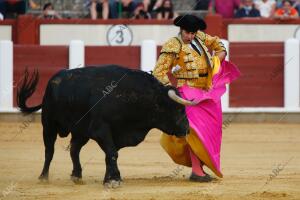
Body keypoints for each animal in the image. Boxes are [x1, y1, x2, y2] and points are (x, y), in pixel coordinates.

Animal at [16, 65, 191, 187]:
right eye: (179, 109)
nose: (187, 129)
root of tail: (53, 80)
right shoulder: (101, 131)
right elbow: (112, 153)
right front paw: (114, 180)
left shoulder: (113, 134)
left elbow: (109, 155)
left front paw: (109, 179)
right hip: (49, 125)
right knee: (49, 151)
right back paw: (43, 177)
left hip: (80, 132)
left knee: (74, 150)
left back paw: (77, 176)